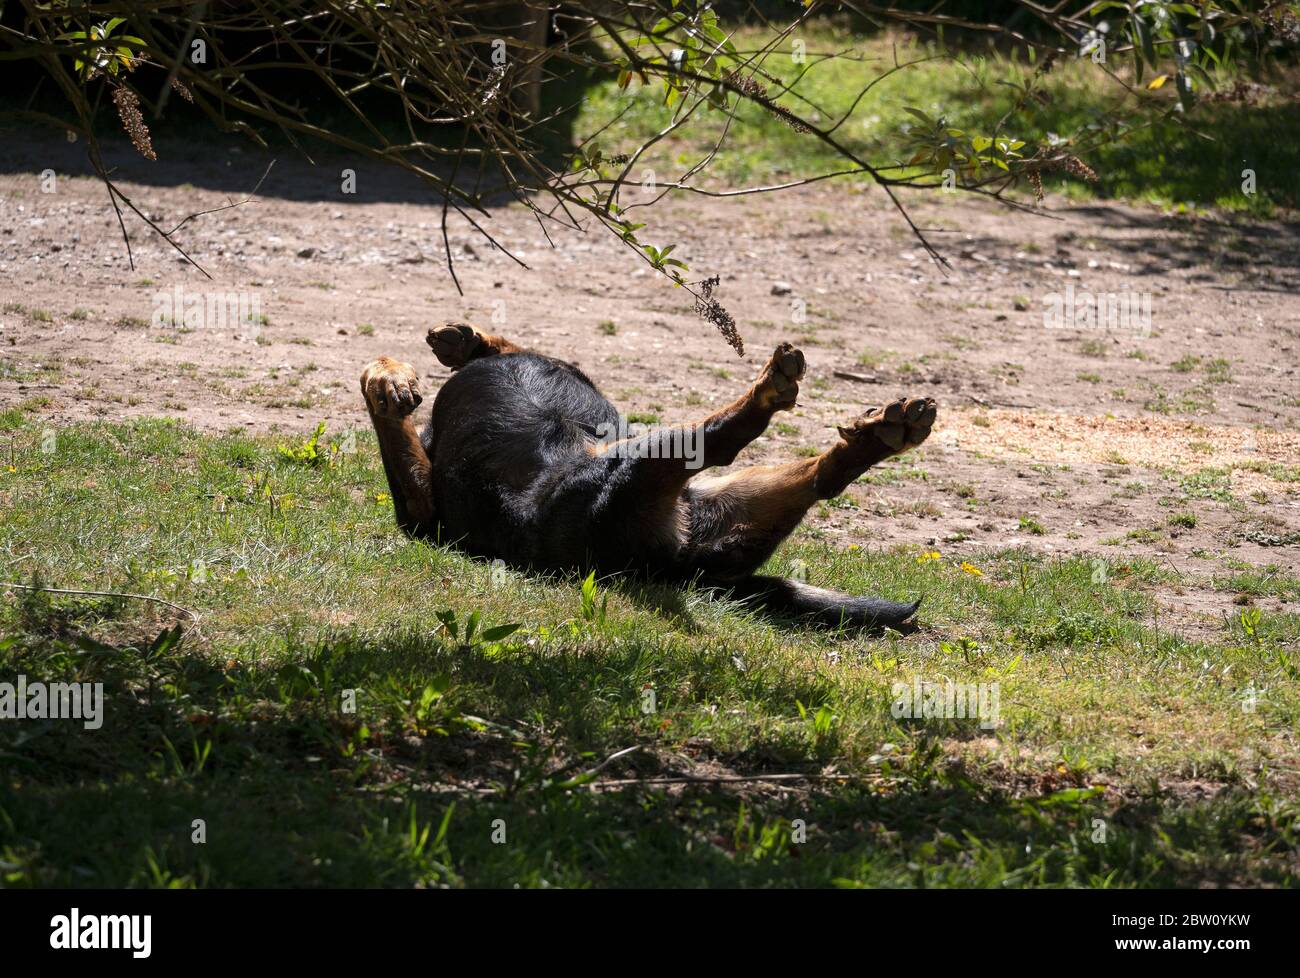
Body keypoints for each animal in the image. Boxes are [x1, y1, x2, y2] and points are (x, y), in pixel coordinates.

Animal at [361, 321, 941, 626]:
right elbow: (393, 428)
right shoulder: (423, 514)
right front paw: (389, 378)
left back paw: (866, 434)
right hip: (642, 478)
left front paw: (417, 363)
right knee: (730, 445)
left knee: (809, 473)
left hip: (699, 490)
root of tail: (674, 569)